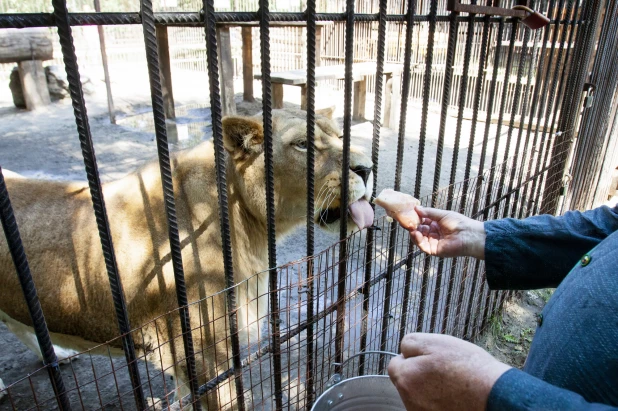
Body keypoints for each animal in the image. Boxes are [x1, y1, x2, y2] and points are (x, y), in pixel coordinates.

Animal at [0, 108, 370, 408]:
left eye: (340, 136)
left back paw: (57, 356)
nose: (366, 168)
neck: (249, 227)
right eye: (303, 144)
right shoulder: (207, 359)